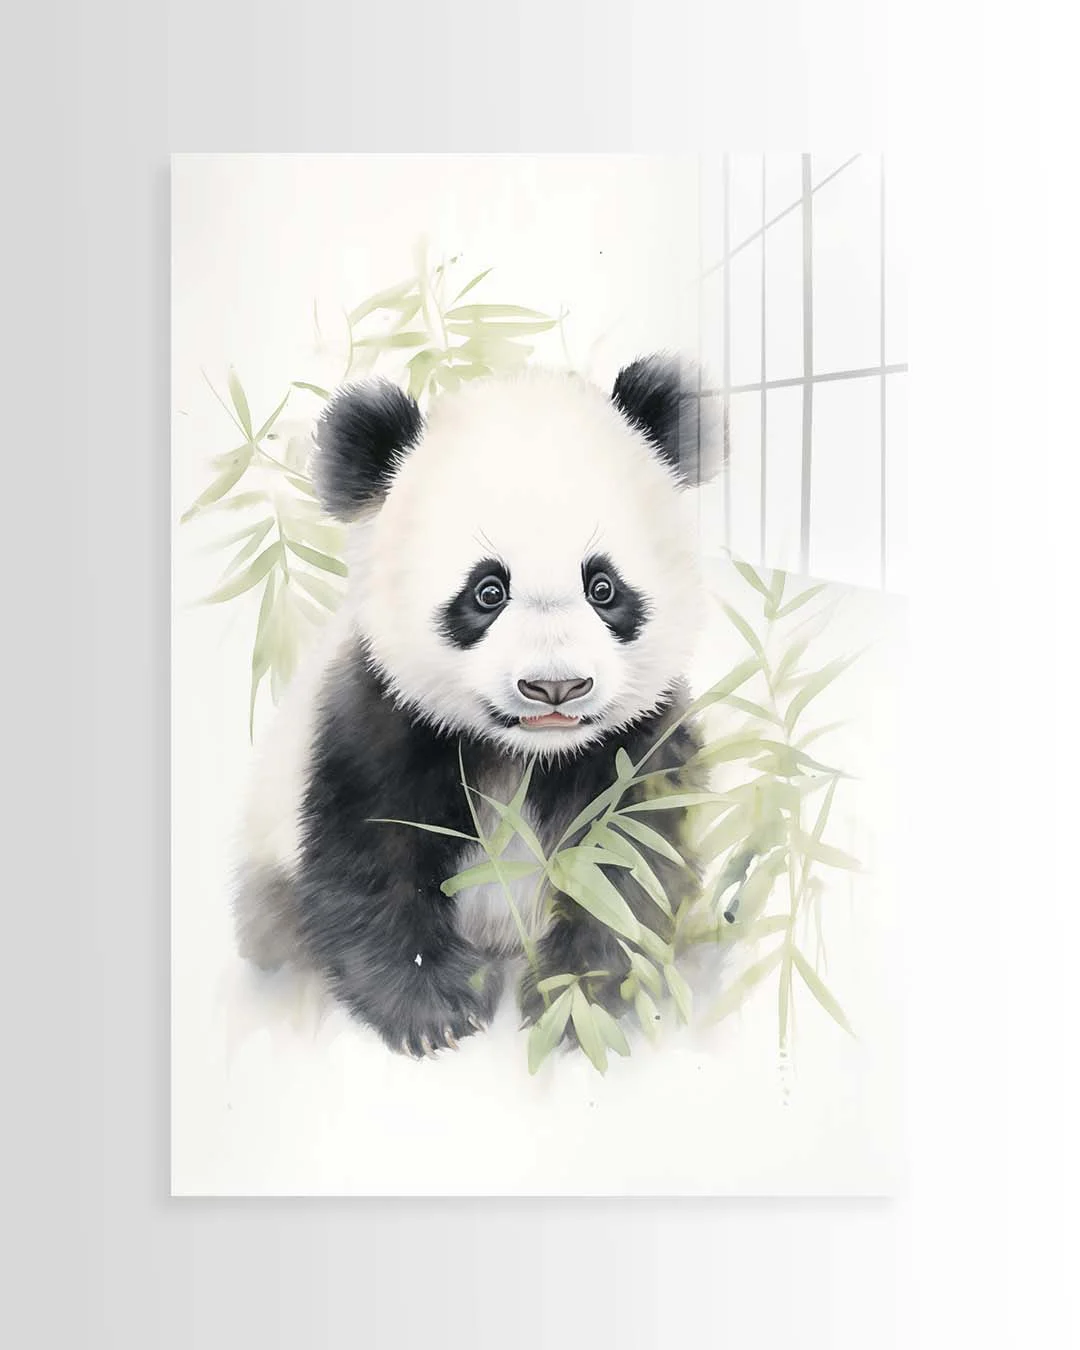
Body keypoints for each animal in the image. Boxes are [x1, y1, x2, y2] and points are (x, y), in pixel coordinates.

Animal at [235, 355, 719, 1057]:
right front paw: (435, 1008)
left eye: (602, 587)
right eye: (487, 591)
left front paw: (574, 999)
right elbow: (369, 858)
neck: (526, 754)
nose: (555, 687)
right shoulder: (375, 719)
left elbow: (631, 862)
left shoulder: (639, 742)